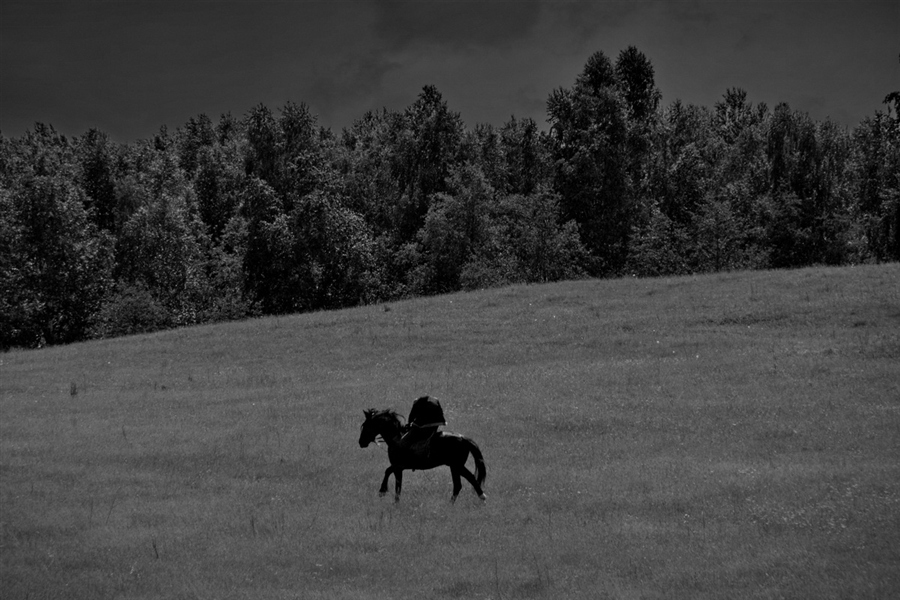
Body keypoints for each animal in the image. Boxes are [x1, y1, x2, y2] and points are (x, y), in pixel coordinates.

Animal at [356, 408, 486, 502]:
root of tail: (463, 438)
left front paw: (382, 491)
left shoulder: (398, 466)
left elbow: (389, 474)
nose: (361, 442)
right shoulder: (399, 468)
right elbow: (397, 486)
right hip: (455, 467)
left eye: (366, 425)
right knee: (462, 483)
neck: (397, 439)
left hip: (456, 466)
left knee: (466, 481)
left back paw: (480, 499)